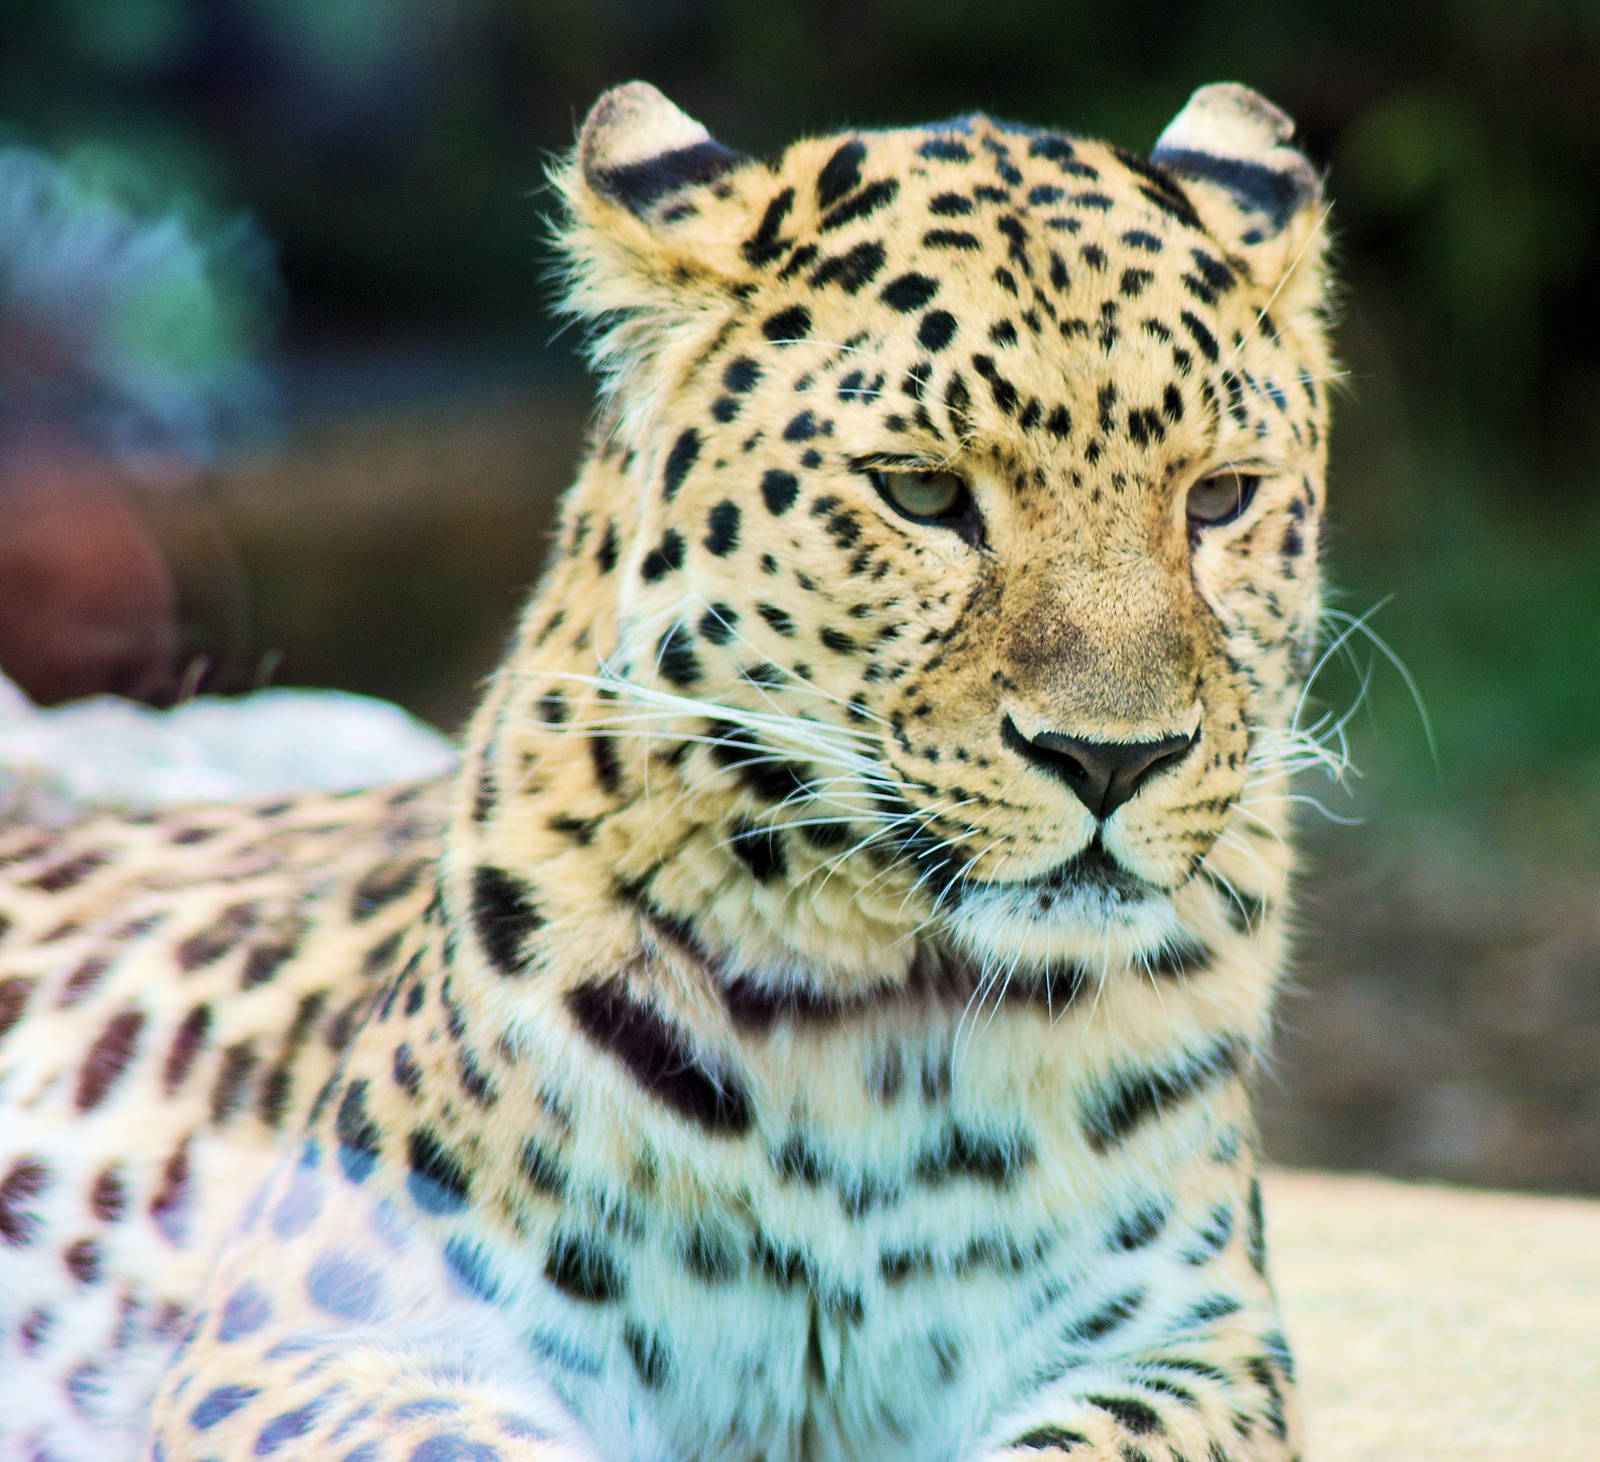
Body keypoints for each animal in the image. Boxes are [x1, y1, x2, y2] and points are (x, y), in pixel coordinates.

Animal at [0, 79, 1333, 1462]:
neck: (889, 1029)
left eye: (1220, 498)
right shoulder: (317, 1327)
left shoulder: (1186, 1338)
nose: (1114, 761)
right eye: (921, 492)